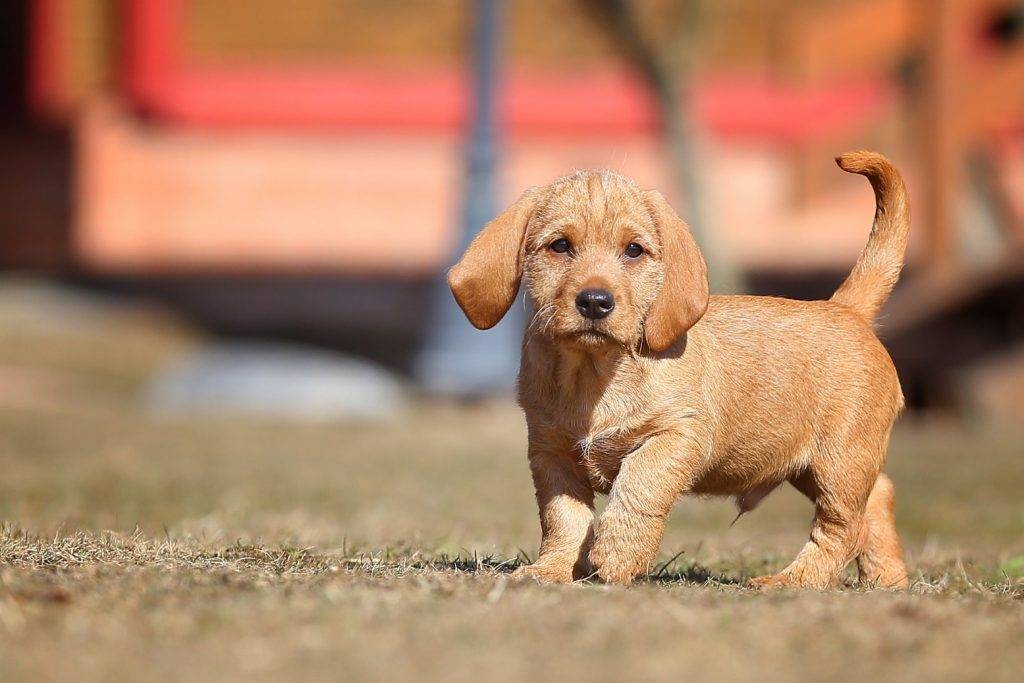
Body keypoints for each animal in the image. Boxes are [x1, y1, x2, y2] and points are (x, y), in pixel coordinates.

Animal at [450, 152, 913, 589]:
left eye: (633, 250)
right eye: (559, 246)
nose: (595, 302)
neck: (595, 374)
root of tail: (846, 309)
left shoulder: (678, 434)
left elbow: (639, 482)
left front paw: (618, 553)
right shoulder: (551, 454)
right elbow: (563, 519)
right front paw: (553, 568)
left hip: (839, 461)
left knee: (842, 527)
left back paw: (794, 580)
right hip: (814, 466)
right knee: (879, 497)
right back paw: (886, 578)